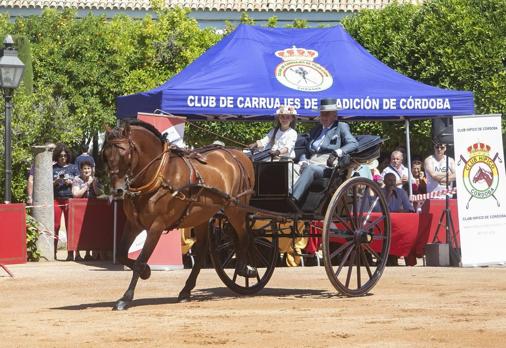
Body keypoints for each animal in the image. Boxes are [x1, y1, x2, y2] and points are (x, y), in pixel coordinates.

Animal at [102, 119, 256, 310]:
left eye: (124, 152)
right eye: (105, 154)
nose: (117, 190)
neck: (159, 176)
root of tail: (238, 155)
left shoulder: (157, 226)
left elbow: (139, 260)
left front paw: (126, 298)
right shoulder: (133, 224)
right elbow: (123, 255)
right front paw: (147, 272)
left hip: (235, 209)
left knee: (244, 236)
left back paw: (244, 268)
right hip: (202, 216)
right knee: (202, 251)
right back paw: (186, 290)